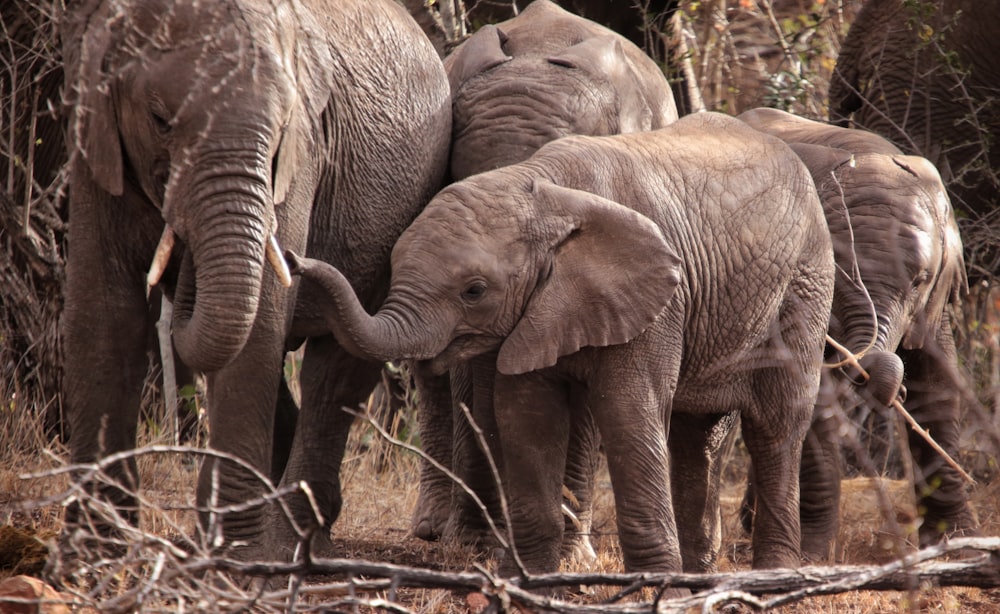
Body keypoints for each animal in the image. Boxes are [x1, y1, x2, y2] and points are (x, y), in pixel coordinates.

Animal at [60, 0, 452, 560]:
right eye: (159, 120)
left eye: (282, 125)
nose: (296, 258)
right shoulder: (94, 145)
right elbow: (103, 313)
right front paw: (93, 552)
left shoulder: (301, 156)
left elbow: (260, 322)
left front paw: (237, 556)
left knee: (335, 372)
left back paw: (295, 541)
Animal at [284, 113, 836, 580]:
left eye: (474, 291)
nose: (291, 258)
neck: (544, 191)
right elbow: (526, 417)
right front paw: (527, 582)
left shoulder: (658, 300)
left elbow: (628, 413)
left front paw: (654, 587)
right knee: (698, 434)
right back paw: (701, 576)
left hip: (806, 285)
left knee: (777, 423)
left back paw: (773, 575)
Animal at [736, 108, 976, 560]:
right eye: (837, 271)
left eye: (919, 280)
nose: (888, 390)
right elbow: (811, 399)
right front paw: (813, 557)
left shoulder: (933, 305)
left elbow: (937, 388)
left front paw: (959, 544)